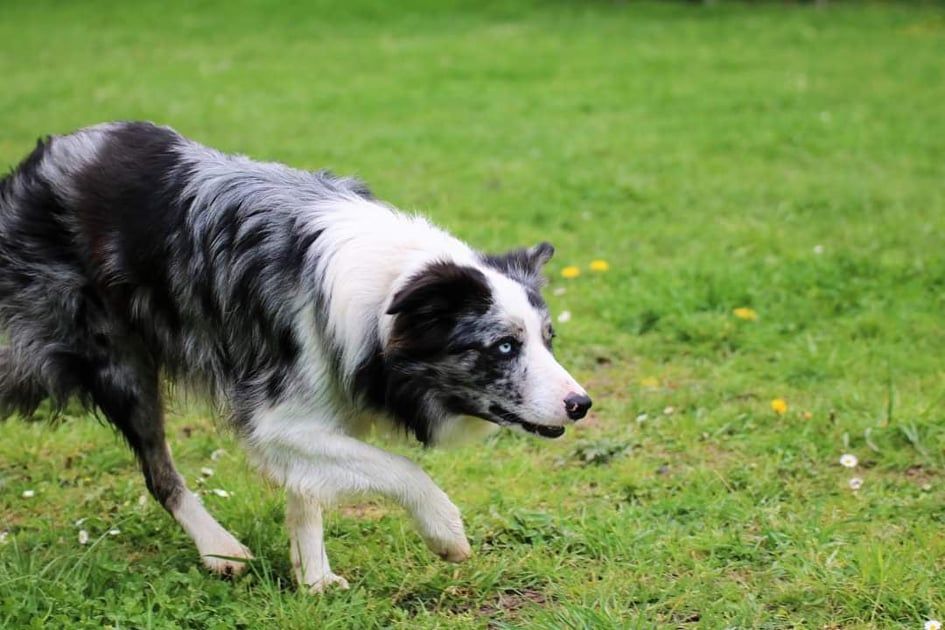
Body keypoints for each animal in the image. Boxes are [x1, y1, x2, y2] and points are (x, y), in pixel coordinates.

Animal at [0, 122, 592, 592]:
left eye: (548, 339)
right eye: (504, 346)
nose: (581, 404)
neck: (388, 293)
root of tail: (39, 161)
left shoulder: (321, 402)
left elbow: (306, 495)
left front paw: (314, 581)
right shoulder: (276, 419)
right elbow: (400, 467)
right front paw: (445, 531)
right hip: (108, 362)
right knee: (159, 472)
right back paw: (219, 548)